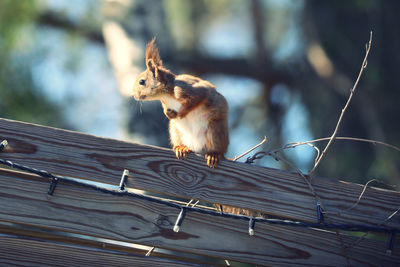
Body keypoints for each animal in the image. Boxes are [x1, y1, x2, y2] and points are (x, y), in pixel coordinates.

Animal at [134, 38, 230, 169]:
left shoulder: (187, 89)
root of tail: (198, 148)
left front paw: (181, 114)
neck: (165, 95)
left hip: (215, 130)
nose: (133, 95)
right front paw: (169, 113)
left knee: (218, 149)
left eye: (142, 82)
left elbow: (196, 99)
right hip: (176, 132)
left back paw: (214, 155)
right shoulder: (165, 103)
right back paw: (182, 148)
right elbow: (166, 109)